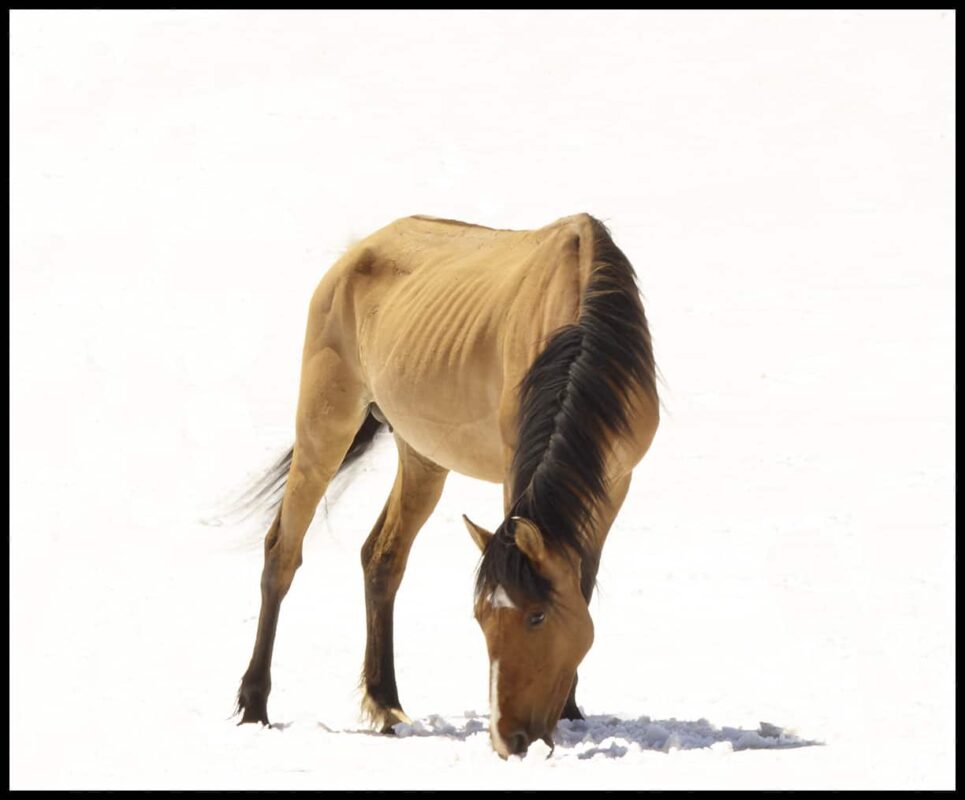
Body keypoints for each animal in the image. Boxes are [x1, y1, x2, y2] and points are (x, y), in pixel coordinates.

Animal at [235, 213, 659, 758]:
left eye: (537, 617)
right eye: (479, 618)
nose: (508, 739)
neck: (583, 323)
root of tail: (354, 254)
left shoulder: (616, 480)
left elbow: (581, 582)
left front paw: (570, 709)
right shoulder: (515, 472)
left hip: (423, 455)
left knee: (382, 559)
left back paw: (386, 704)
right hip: (323, 428)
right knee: (282, 552)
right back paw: (254, 703)